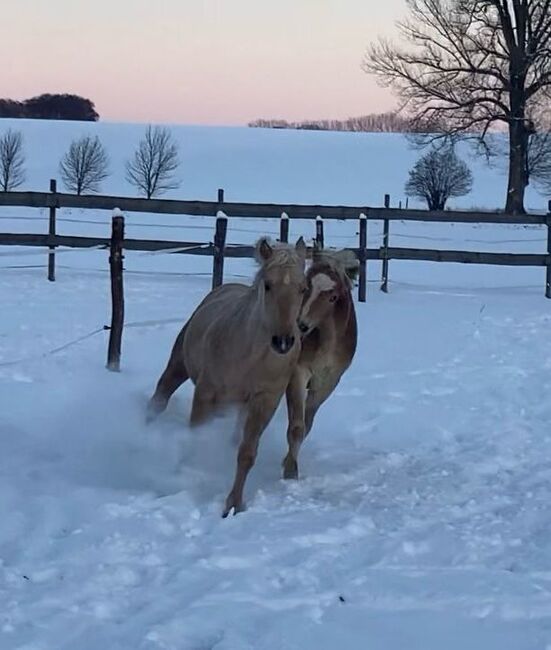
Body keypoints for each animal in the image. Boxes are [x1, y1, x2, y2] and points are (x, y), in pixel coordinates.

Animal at [147, 235, 308, 512]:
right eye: (268, 285)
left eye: (302, 288)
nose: (283, 342)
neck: (250, 355)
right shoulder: (206, 393)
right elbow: (195, 440)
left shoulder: (265, 400)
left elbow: (247, 453)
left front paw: (234, 504)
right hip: (178, 367)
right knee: (158, 400)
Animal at [282, 246, 360, 478]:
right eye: (305, 288)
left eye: (333, 297)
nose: (301, 325)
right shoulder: (298, 374)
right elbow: (296, 427)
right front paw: (290, 470)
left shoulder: (327, 383)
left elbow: (306, 425)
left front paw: (287, 461)